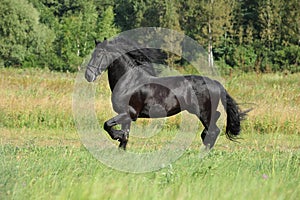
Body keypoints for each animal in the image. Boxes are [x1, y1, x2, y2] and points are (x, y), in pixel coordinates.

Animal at [85, 37, 247, 150]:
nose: (88, 75)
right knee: (212, 126)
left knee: (213, 130)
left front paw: (117, 135)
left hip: (203, 112)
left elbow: (107, 125)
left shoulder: (130, 113)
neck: (130, 82)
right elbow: (125, 137)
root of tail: (214, 82)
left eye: (99, 54)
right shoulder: (126, 116)